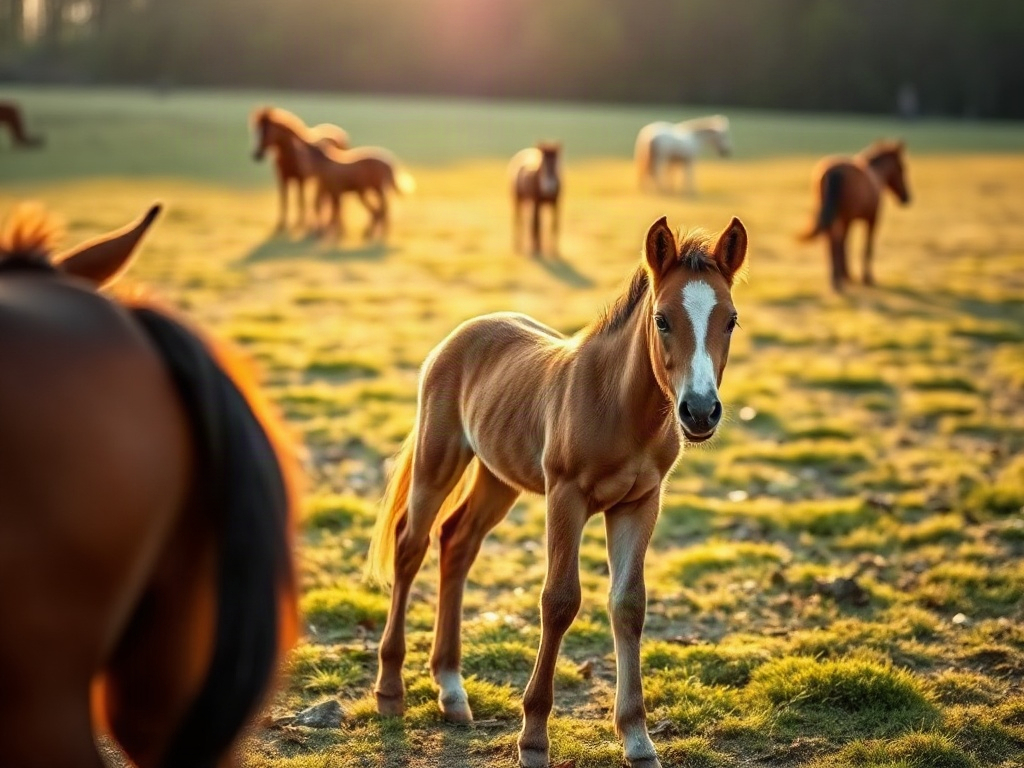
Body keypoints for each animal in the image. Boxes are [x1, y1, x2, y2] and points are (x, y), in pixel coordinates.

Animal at [366, 215, 749, 768]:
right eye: (661, 319)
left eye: (731, 320)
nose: (699, 412)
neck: (619, 405)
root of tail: (460, 335)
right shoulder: (565, 496)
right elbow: (560, 600)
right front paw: (533, 738)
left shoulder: (640, 503)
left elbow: (629, 605)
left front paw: (638, 739)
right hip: (438, 460)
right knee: (411, 545)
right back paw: (391, 689)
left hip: (498, 477)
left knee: (457, 543)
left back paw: (452, 690)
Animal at [799, 140, 911, 292]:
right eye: (902, 168)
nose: (907, 198)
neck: (875, 175)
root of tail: (831, 171)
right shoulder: (871, 219)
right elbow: (866, 247)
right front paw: (866, 278)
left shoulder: (849, 220)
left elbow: (846, 244)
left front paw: (847, 275)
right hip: (843, 216)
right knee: (835, 240)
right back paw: (837, 280)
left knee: (830, 239)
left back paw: (835, 278)